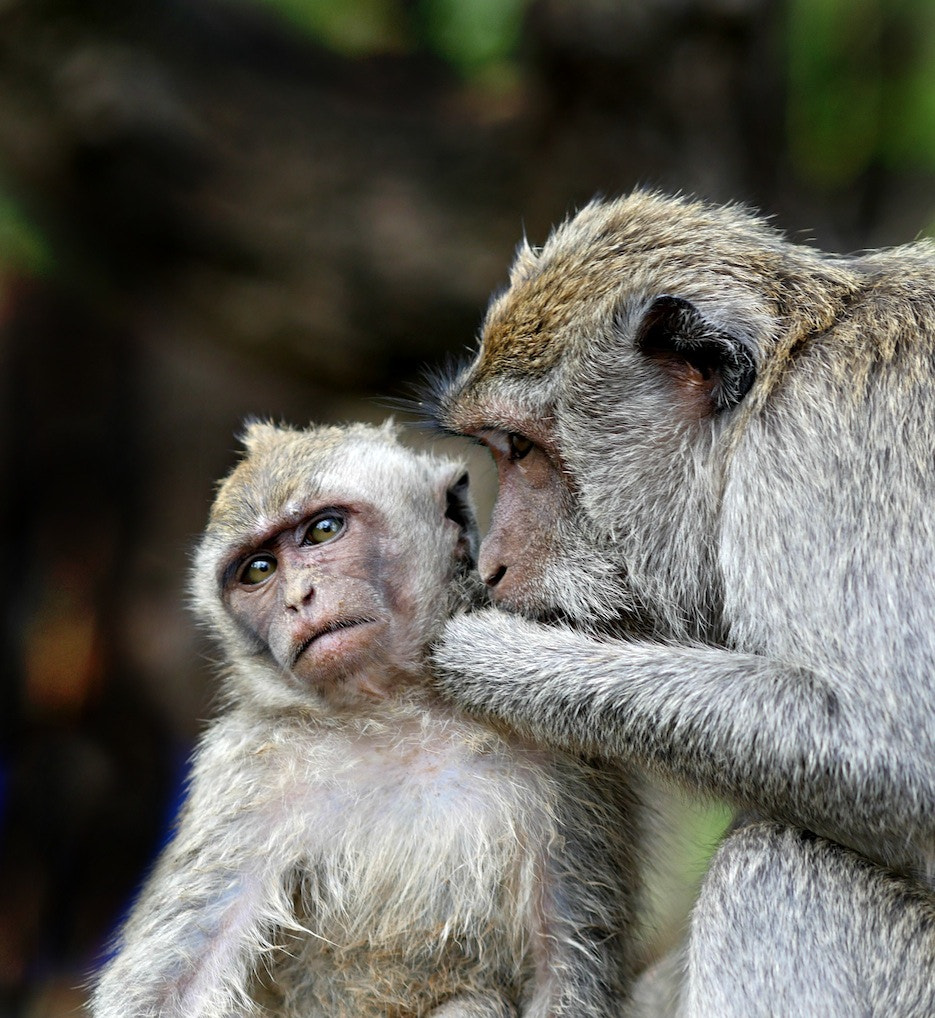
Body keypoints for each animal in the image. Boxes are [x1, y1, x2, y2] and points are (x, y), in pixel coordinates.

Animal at [87, 419, 639, 1018]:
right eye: (258, 570)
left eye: (323, 531)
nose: (299, 598)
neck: (398, 712)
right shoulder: (246, 771)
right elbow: (168, 991)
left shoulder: (565, 759)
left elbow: (564, 965)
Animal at [427, 192, 935, 1018]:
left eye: (524, 451)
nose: (492, 565)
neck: (787, 368)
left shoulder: (827, 443)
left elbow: (890, 751)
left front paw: (485, 655)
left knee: (779, 867)